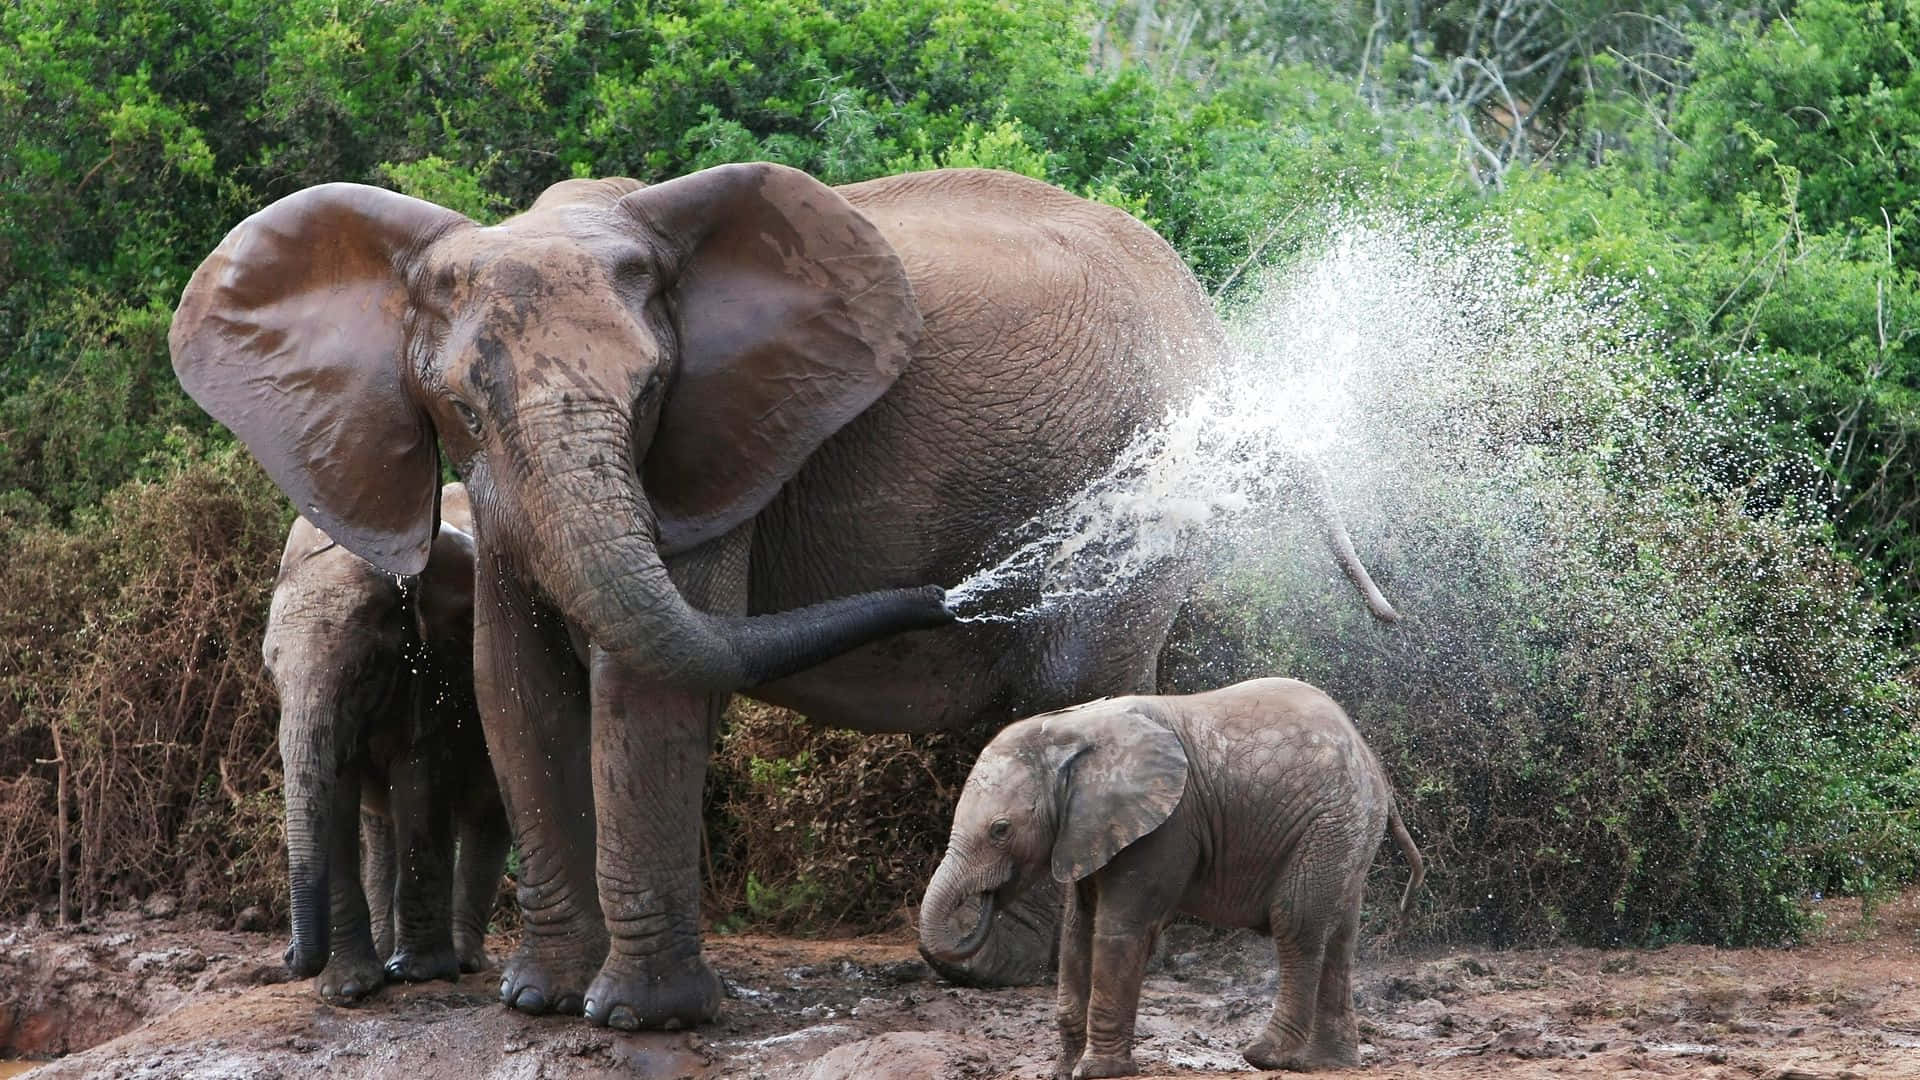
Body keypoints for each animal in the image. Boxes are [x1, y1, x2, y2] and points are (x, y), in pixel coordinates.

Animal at [264, 482, 510, 1003]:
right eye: (271, 673)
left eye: (364, 668)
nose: (289, 957)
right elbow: (338, 796)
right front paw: (348, 990)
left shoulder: (439, 667)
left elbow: (418, 781)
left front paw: (418, 974)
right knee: (381, 826)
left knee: (488, 812)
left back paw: (462, 960)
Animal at [918, 678, 1423, 1077]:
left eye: (1001, 830)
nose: (983, 902)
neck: (1072, 729)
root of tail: (1373, 763)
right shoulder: (1088, 829)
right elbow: (1078, 932)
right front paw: (1062, 1071)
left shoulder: (1166, 826)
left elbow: (1120, 928)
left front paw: (1098, 1072)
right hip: (1347, 830)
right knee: (1338, 936)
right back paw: (1329, 1063)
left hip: (1329, 822)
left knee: (1297, 923)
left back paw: (1266, 1056)